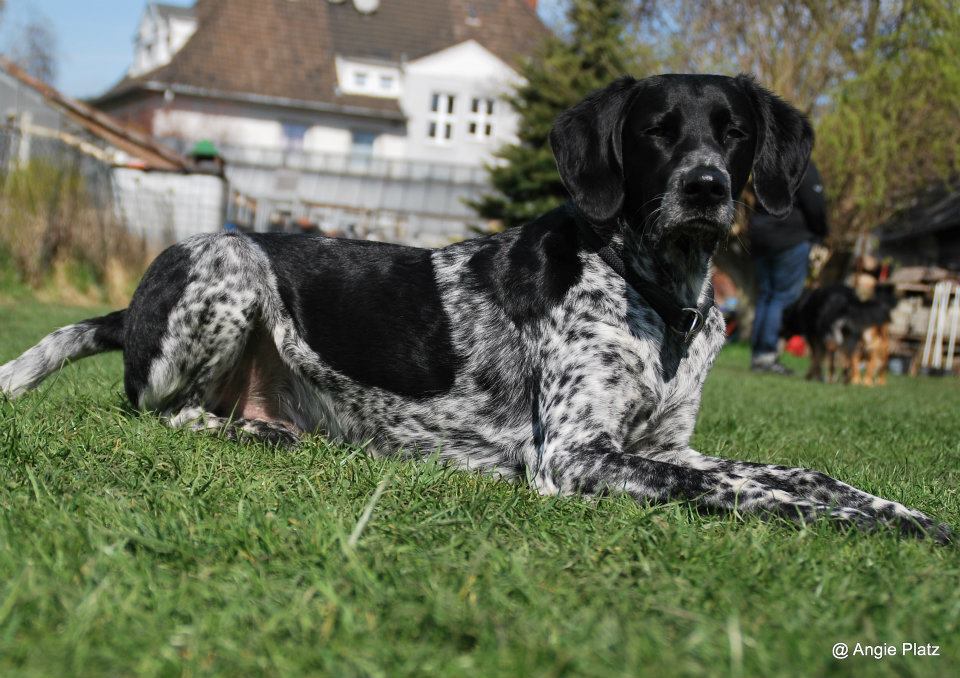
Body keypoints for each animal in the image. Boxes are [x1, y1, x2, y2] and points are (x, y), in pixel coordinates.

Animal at [0, 73, 948, 540]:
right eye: (656, 131)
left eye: (735, 132)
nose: (707, 188)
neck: (657, 292)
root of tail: (130, 308)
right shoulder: (571, 456)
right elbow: (737, 490)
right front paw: (827, 521)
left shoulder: (664, 445)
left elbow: (796, 473)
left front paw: (900, 514)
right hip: (227, 256)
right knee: (163, 413)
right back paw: (246, 431)